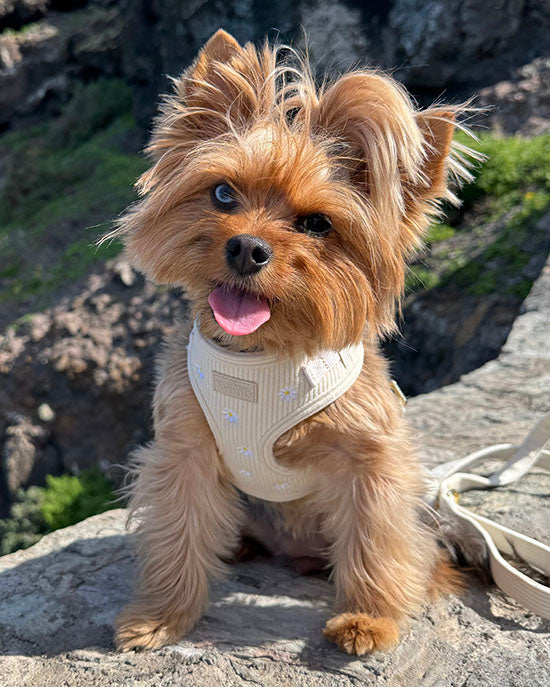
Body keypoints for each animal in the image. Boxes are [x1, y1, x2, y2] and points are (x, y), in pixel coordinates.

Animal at [111, 29, 473, 655]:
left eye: (317, 224)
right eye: (223, 193)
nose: (246, 247)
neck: (262, 354)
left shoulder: (372, 460)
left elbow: (376, 538)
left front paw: (368, 619)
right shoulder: (183, 449)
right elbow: (177, 533)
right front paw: (161, 618)